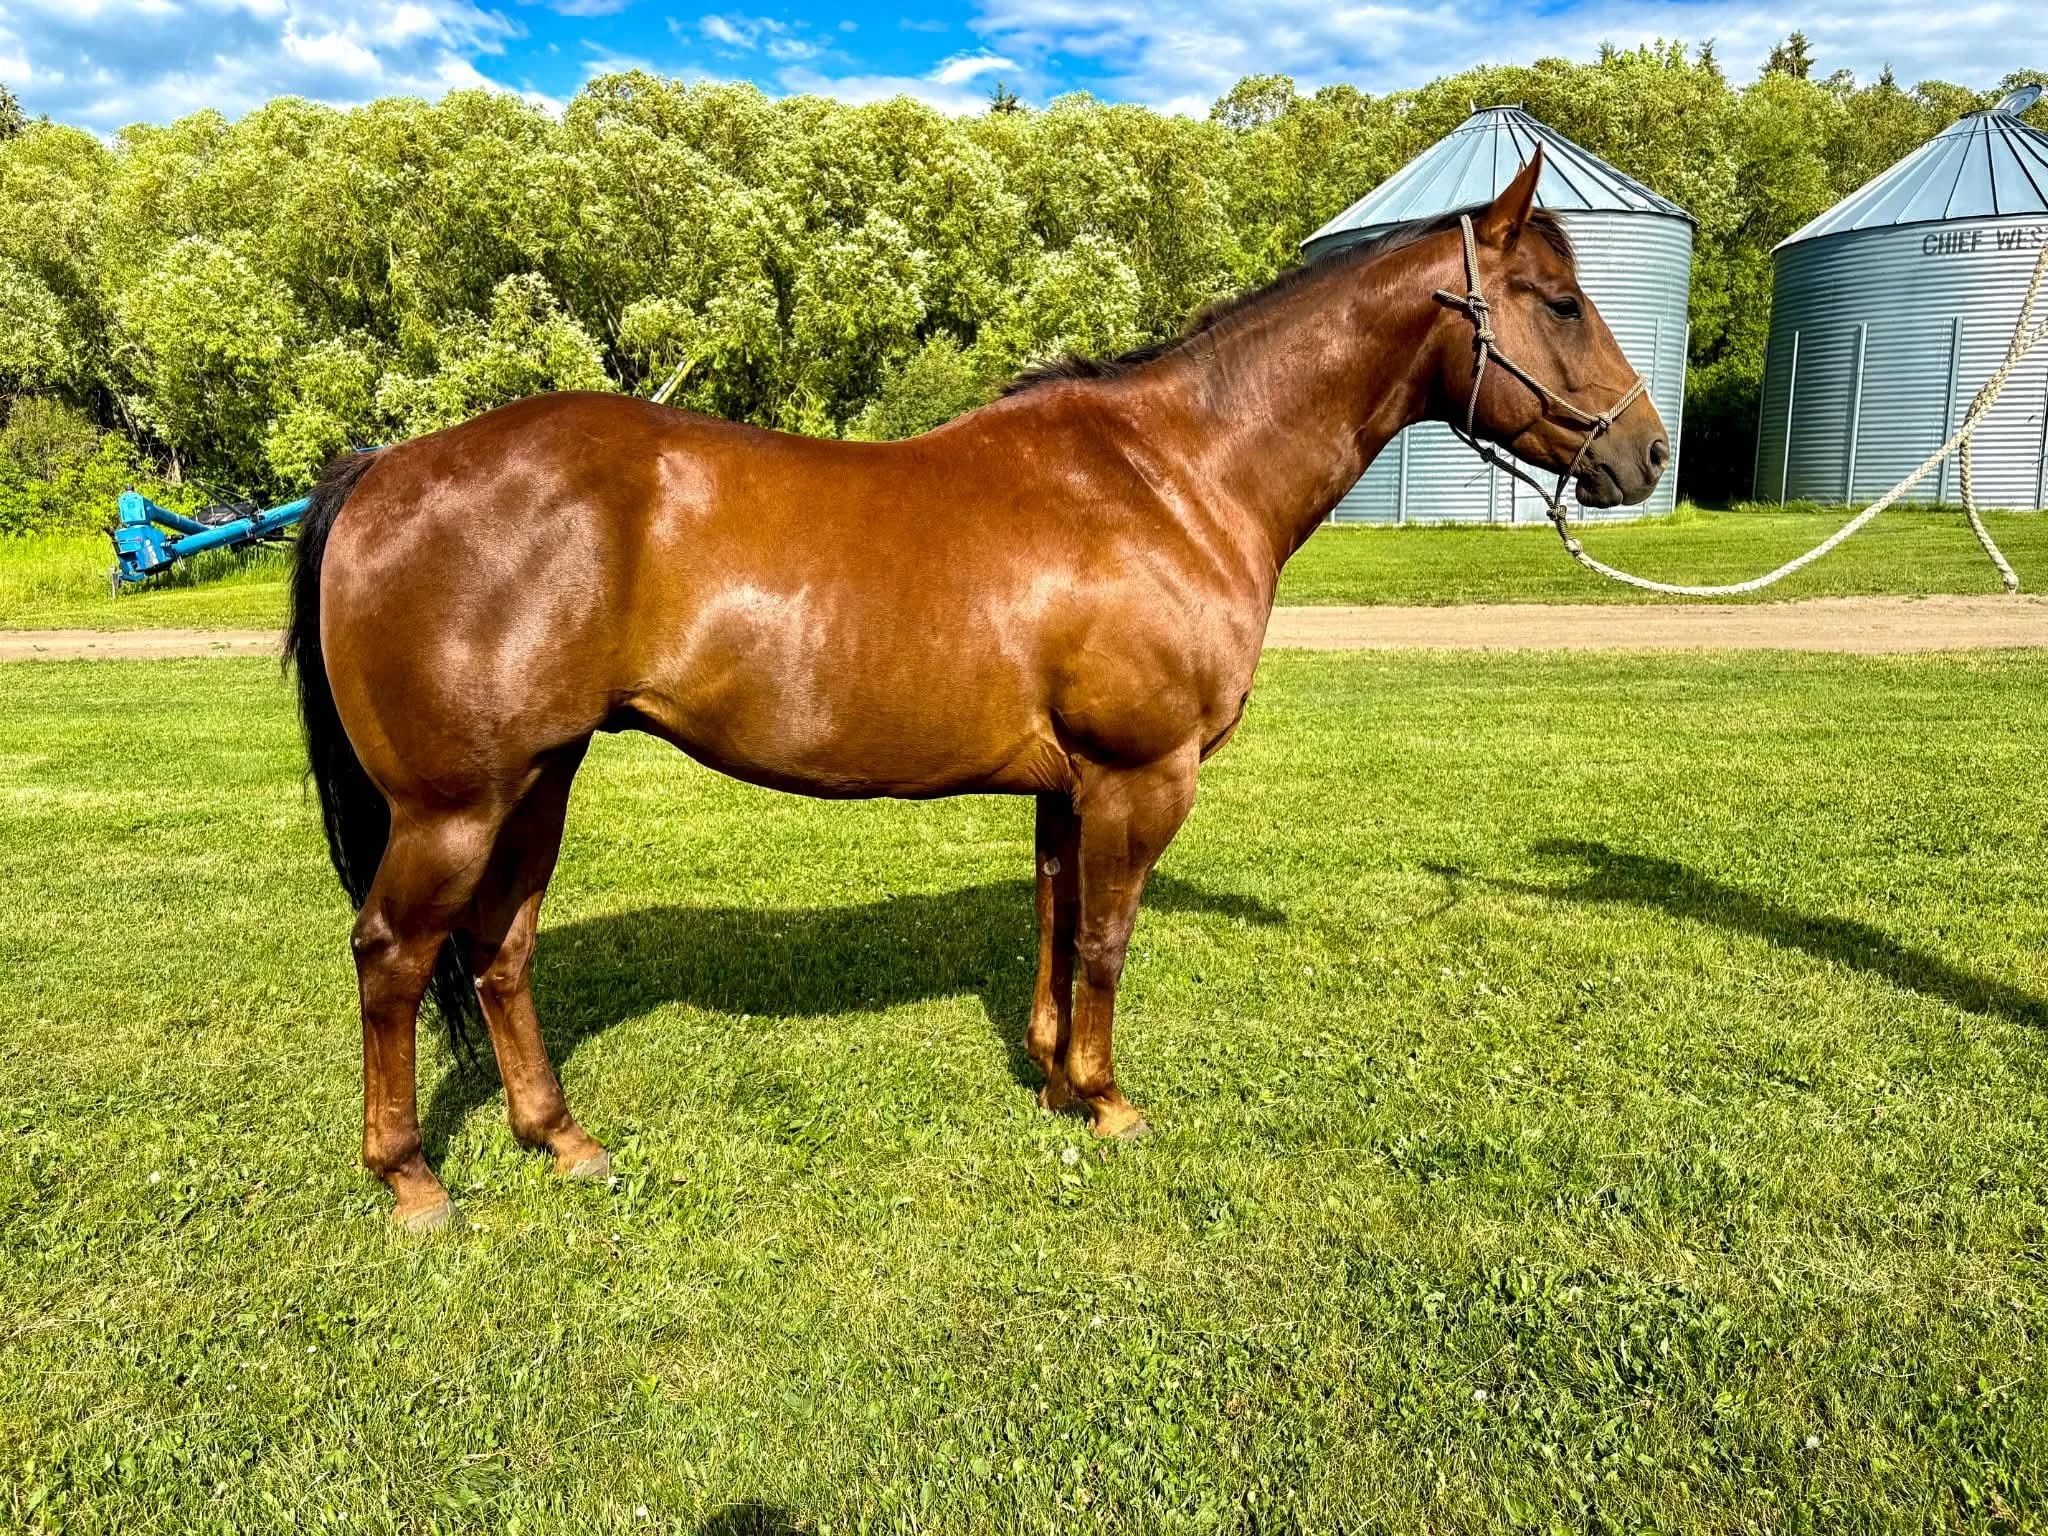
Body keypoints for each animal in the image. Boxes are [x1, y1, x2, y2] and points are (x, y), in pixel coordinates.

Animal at [287, 148, 1668, 1231]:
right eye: (1556, 301)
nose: (1645, 455)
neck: (1173, 475)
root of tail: (382, 466)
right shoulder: (1141, 776)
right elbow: (1105, 939)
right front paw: (1110, 1104)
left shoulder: (1070, 787)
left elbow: (1055, 926)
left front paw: (1055, 1083)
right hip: (455, 807)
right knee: (392, 956)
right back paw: (411, 1179)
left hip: (539, 781)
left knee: (499, 949)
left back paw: (558, 1138)